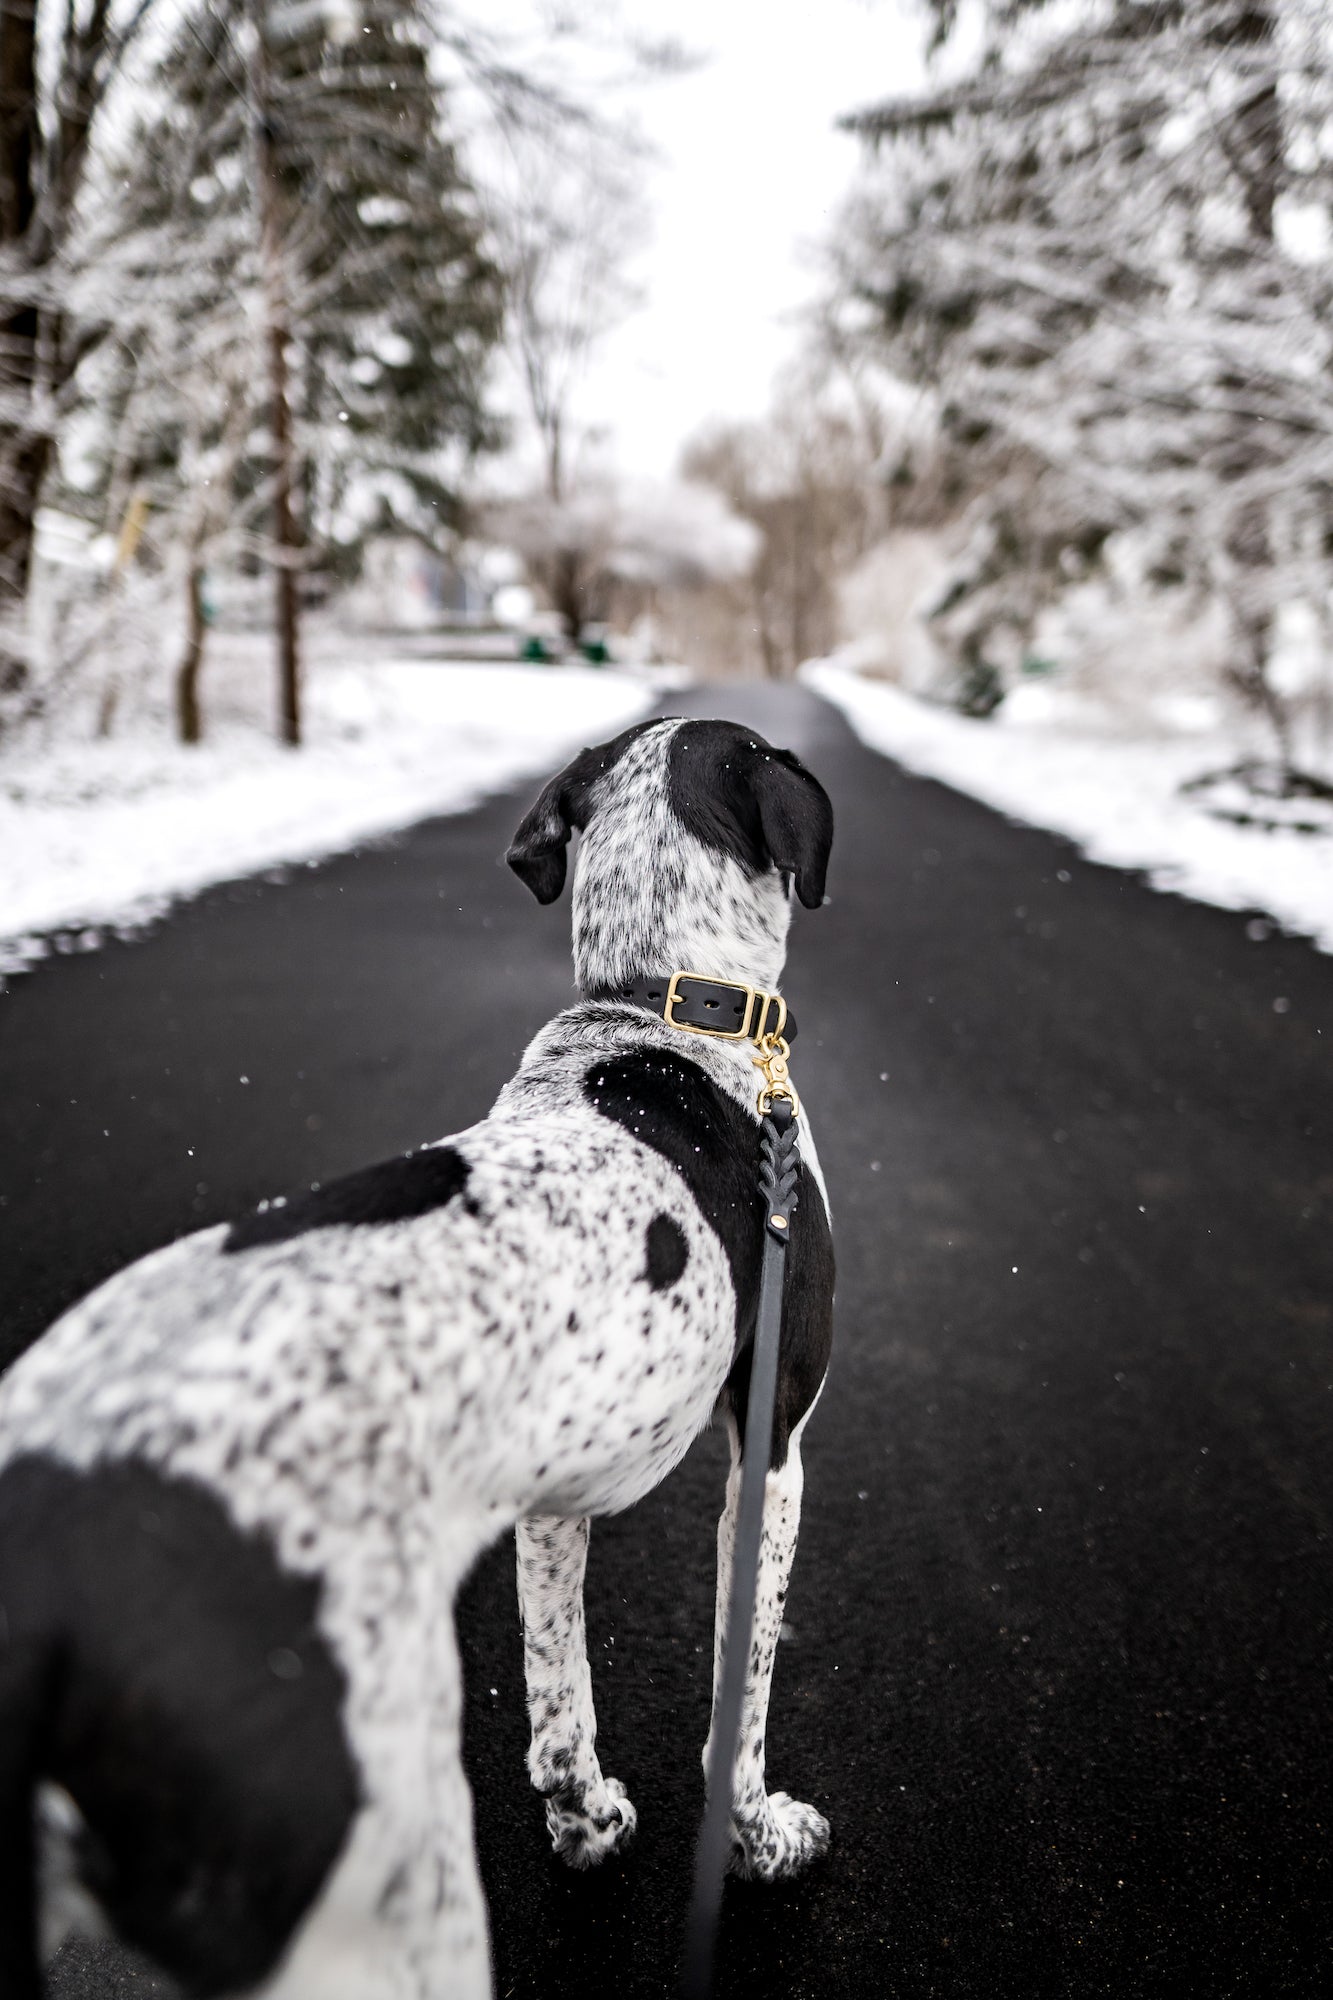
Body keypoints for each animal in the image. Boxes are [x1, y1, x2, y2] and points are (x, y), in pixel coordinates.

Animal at [0, 712, 832, 1992]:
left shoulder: (550, 1495)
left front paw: (586, 1821)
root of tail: (48, 1581)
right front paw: (761, 1837)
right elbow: (735, 1705)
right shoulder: (772, 1450)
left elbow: (556, 1697)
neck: (662, 1004)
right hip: (387, 1884)